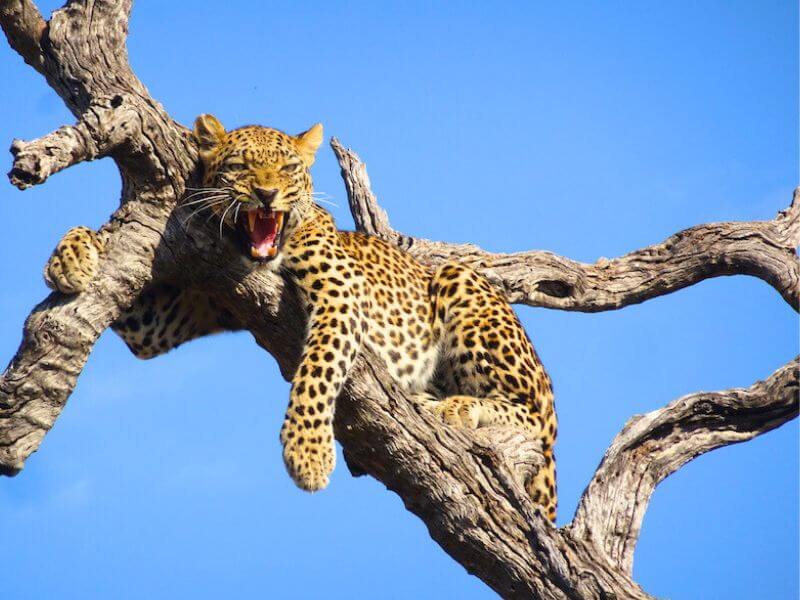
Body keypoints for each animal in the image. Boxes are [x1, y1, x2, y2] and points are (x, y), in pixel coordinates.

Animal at [44, 115, 559, 521]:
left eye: (289, 168)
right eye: (242, 166)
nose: (267, 193)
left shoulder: (341, 295)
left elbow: (317, 373)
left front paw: (306, 454)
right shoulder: (165, 318)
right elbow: (100, 246)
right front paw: (70, 257)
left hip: (465, 286)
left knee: (535, 421)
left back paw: (456, 407)